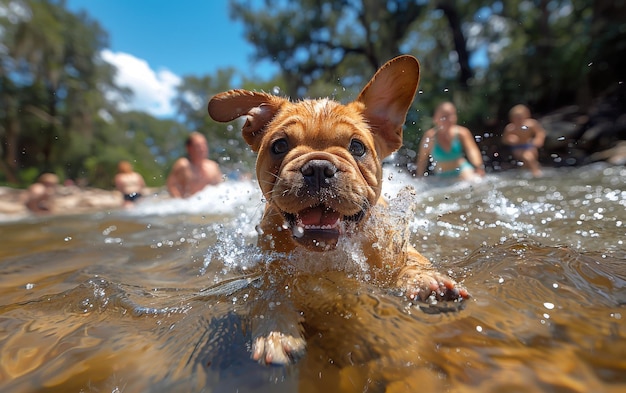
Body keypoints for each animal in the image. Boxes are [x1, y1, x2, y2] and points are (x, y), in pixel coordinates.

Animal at [207, 54, 466, 364]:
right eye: (279, 146)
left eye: (357, 147)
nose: (318, 167)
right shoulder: (269, 270)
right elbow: (270, 293)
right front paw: (275, 331)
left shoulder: (392, 247)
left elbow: (411, 260)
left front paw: (423, 279)